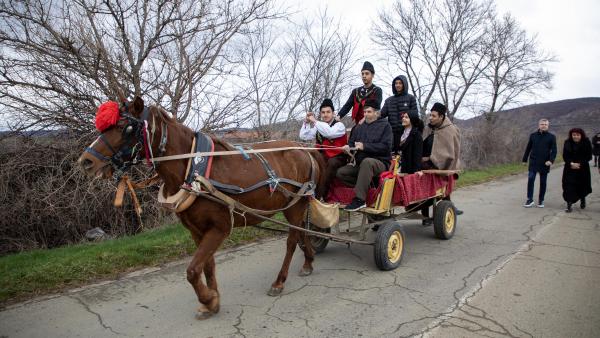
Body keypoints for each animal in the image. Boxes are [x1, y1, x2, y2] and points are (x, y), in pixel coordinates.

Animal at [79, 95, 326, 320]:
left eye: (125, 127)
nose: (86, 161)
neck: (194, 170)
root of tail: (304, 150)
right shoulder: (197, 231)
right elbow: (206, 266)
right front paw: (212, 302)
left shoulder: (219, 228)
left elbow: (192, 270)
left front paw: (208, 299)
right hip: (295, 206)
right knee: (303, 233)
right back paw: (308, 261)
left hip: (294, 207)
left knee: (292, 241)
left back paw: (279, 281)